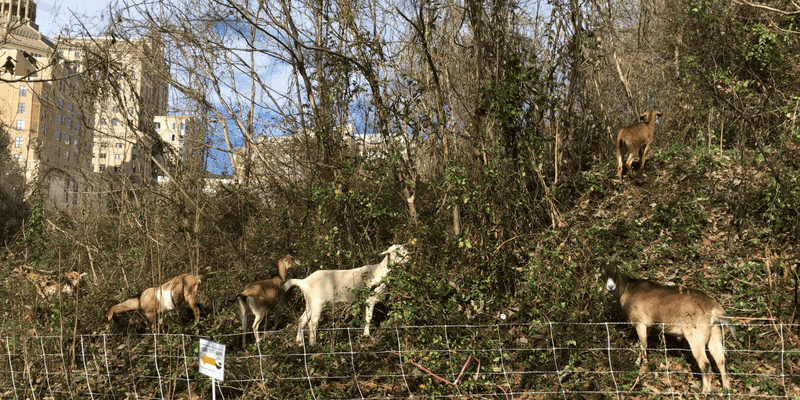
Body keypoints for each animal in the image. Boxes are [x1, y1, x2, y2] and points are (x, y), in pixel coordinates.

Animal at [597, 253, 736, 393]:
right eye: (602, 272)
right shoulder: (648, 325)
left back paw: (704, 392)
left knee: (705, 363)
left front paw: (642, 368)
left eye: (615, 270)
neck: (628, 289)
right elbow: (643, 343)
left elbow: (644, 344)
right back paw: (726, 389)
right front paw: (638, 362)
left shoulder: (640, 322)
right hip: (715, 332)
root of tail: (714, 308)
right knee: (721, 361)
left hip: (696, 334)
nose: (610, 287)